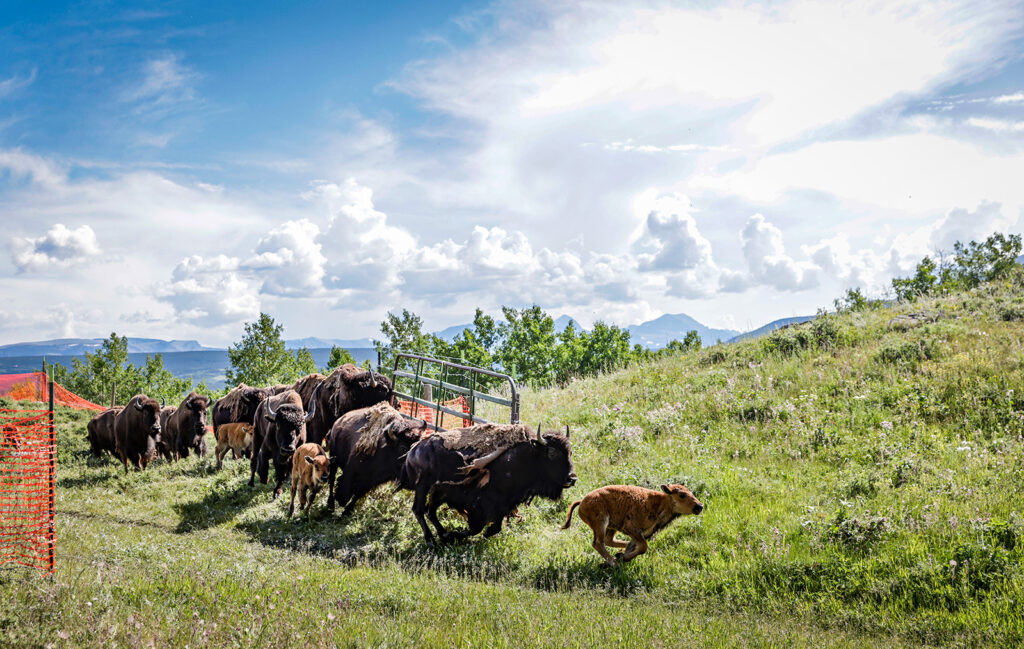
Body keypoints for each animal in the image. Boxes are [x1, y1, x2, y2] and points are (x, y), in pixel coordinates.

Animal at [399, 423, 576, 544]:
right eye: (552, 453)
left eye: (570, 452)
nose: (572, 478)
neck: (530, 455)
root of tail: (413, 451)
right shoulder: (486, 503)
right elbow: (477, 527)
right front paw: (456, 534)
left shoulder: (504, 504)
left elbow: (494, 527)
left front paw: (481, 533)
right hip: (423, 487)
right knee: (419, 510)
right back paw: (431, 540)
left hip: (437, 492)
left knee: (430, 511)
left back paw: (443, 535)